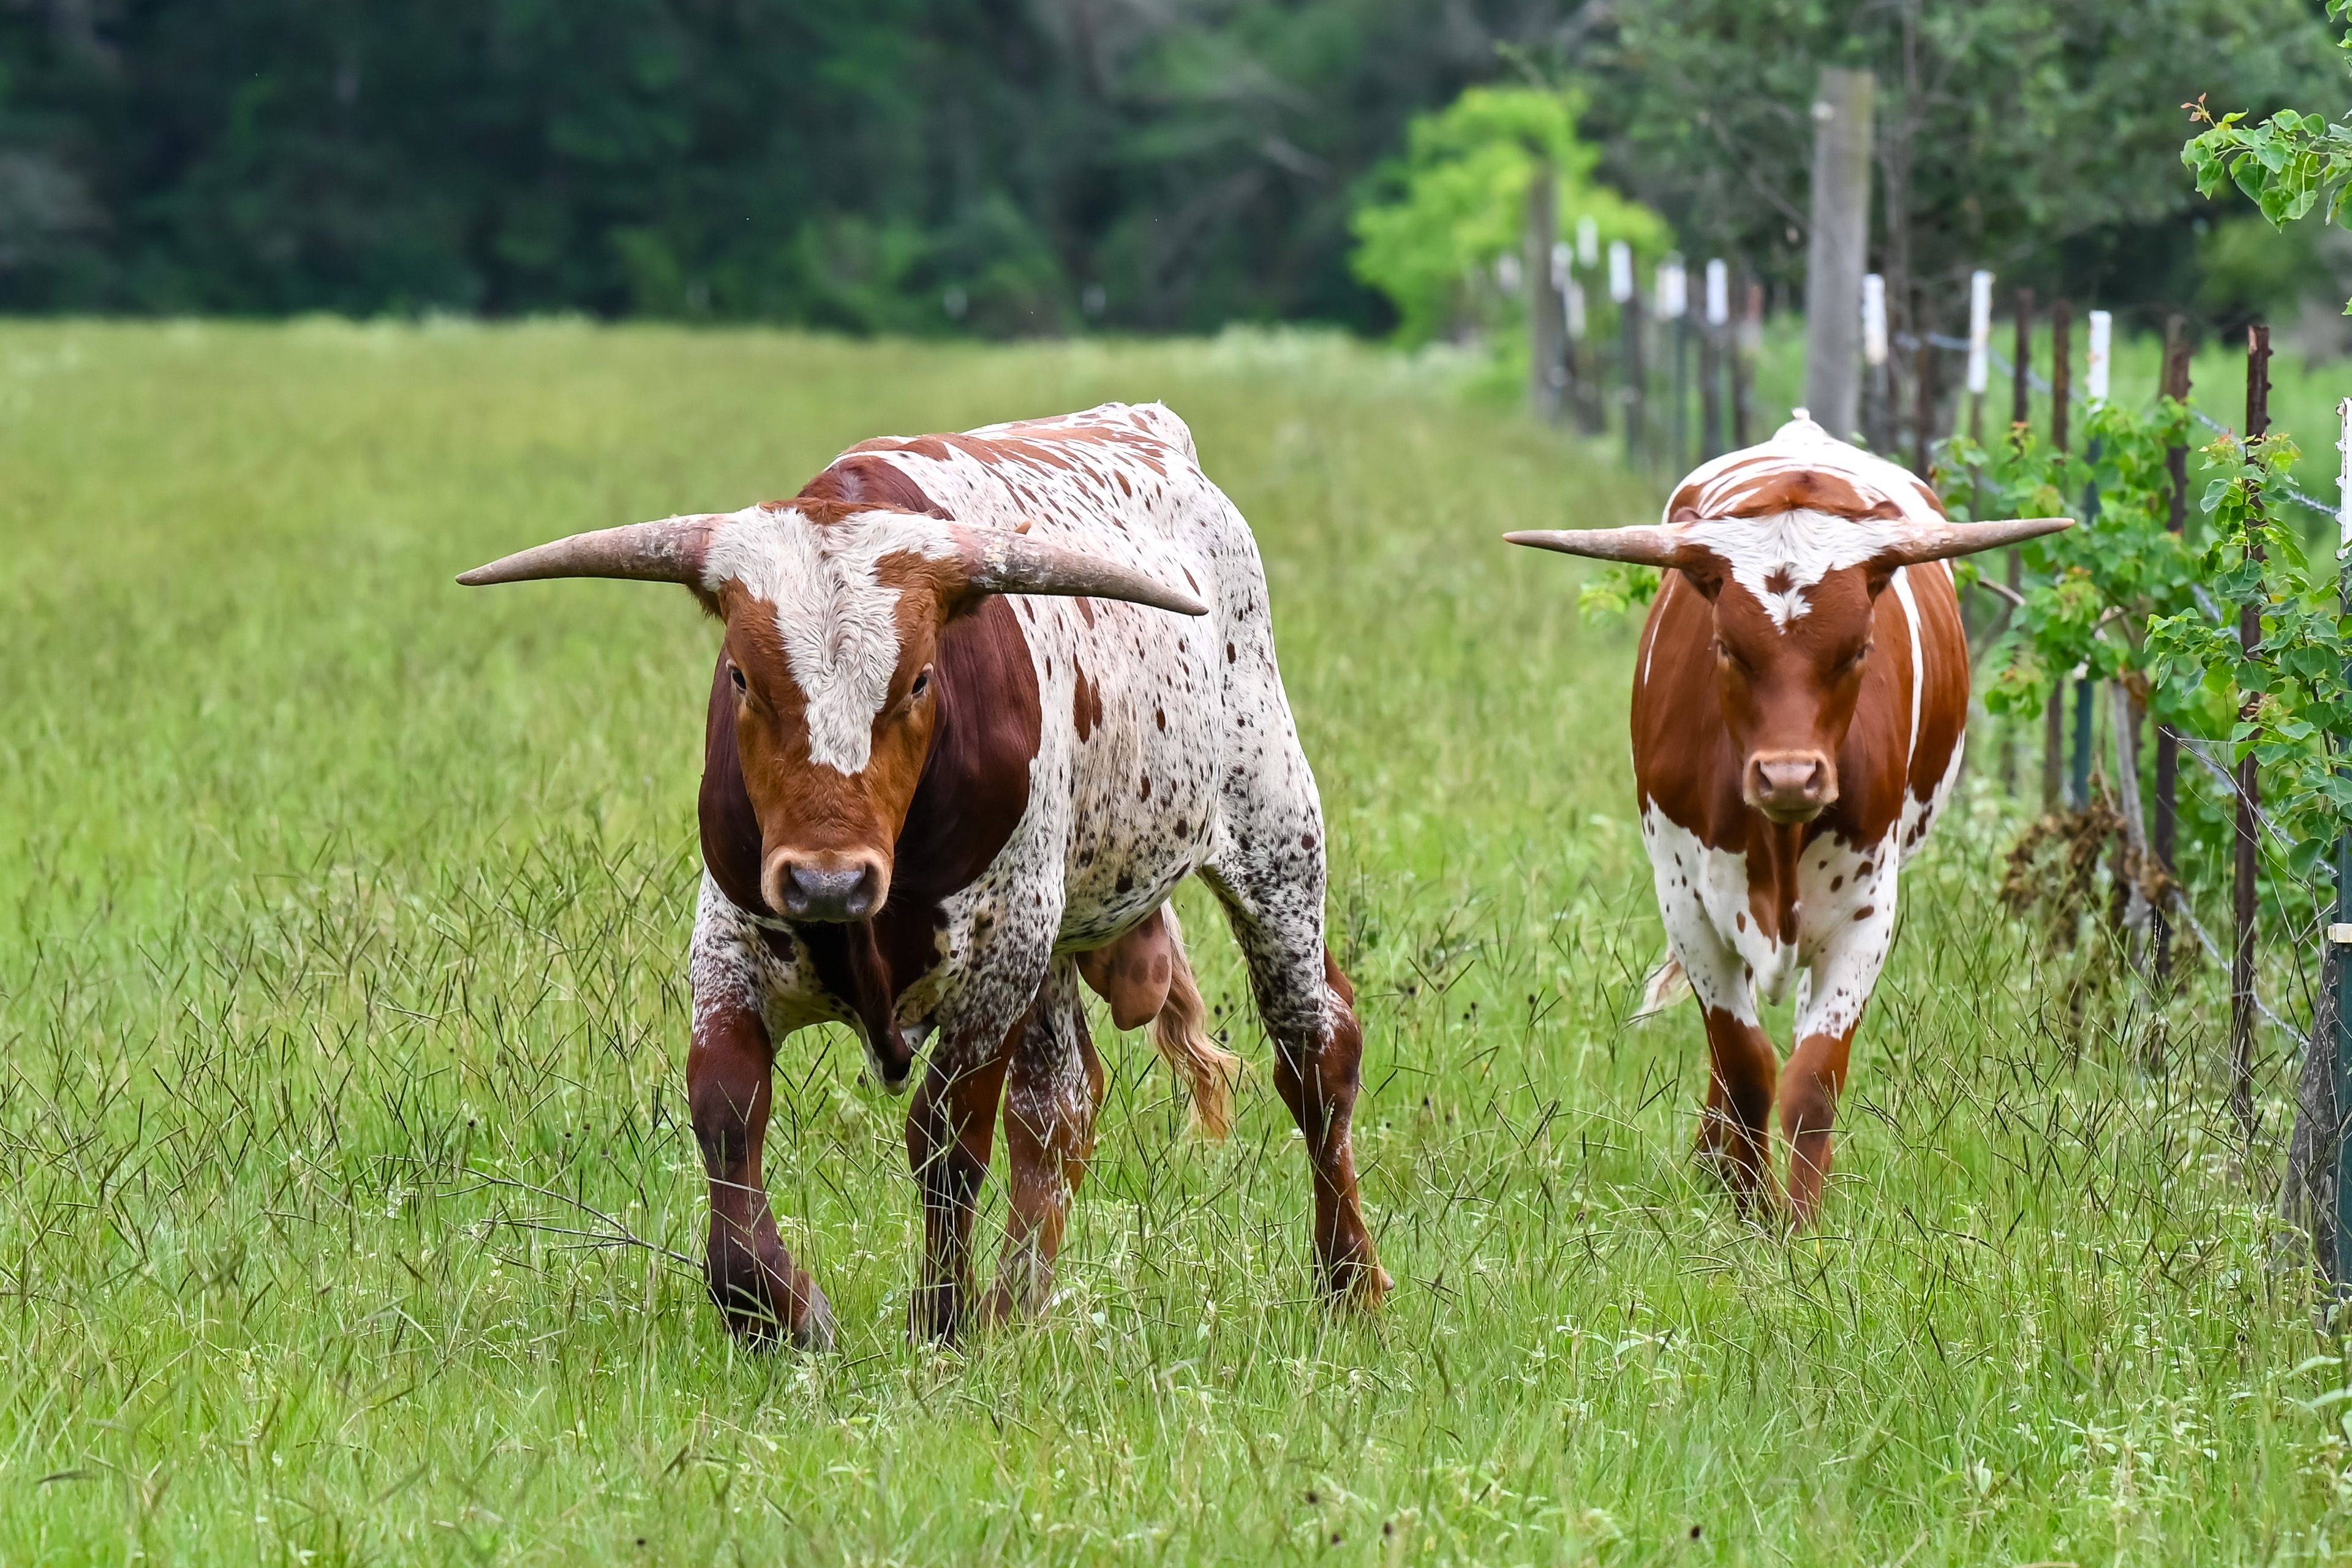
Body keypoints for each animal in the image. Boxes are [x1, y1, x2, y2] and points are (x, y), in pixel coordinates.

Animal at [459, 402, 1387, 1346]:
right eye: (742, 678)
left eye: (919, 680)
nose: (827, 885)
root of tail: (1150, 425)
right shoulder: (729, 939)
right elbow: (725, 1113)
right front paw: (778, 1308)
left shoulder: (998, 964)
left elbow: (947, 1138)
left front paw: (943, 1322)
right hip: (1059, 936)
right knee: (1059, 1103)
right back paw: (1018, 1310)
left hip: (1274, 844)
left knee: (1317, 1056)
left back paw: (1349, 1281)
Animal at [1508, 415, 2068, 1221]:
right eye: (1725, 648)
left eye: (1858, 650)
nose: (1790, 775)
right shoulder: (1687, 902)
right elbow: (1746, 1064)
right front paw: (1748, 1207)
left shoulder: (1869, 912)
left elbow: (1812, 1078)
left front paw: (1801, 1223)